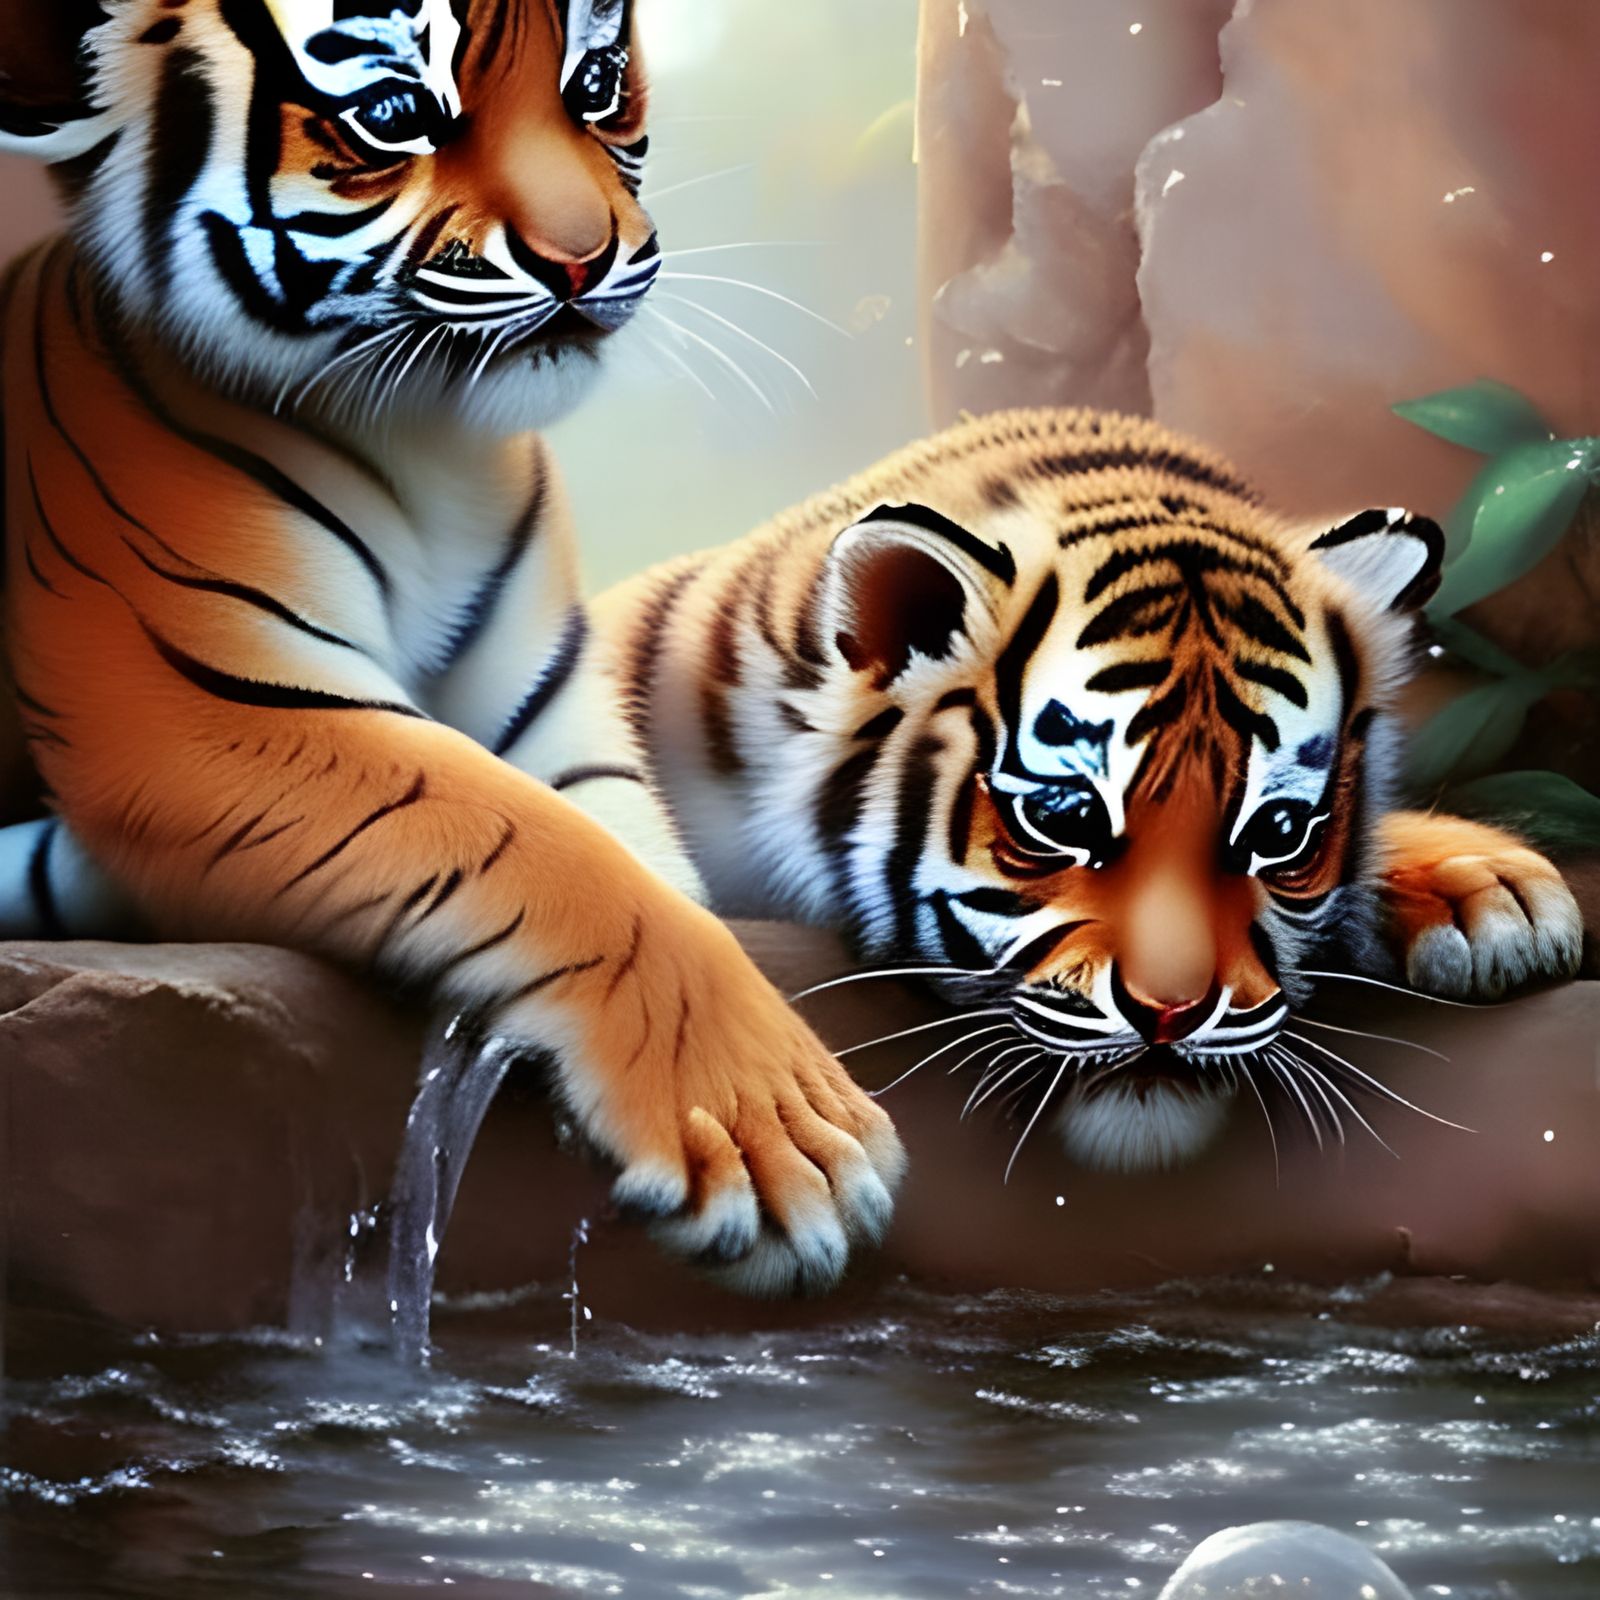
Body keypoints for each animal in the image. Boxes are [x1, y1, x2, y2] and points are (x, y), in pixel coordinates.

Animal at [0, 0, 904, 1298]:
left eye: (596, 82)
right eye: (394, 113)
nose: (584, 259)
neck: (427, 445)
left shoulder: (554, 711)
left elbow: (631, 856)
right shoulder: (205, 701)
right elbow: (547, 852)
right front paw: (768, 1128)